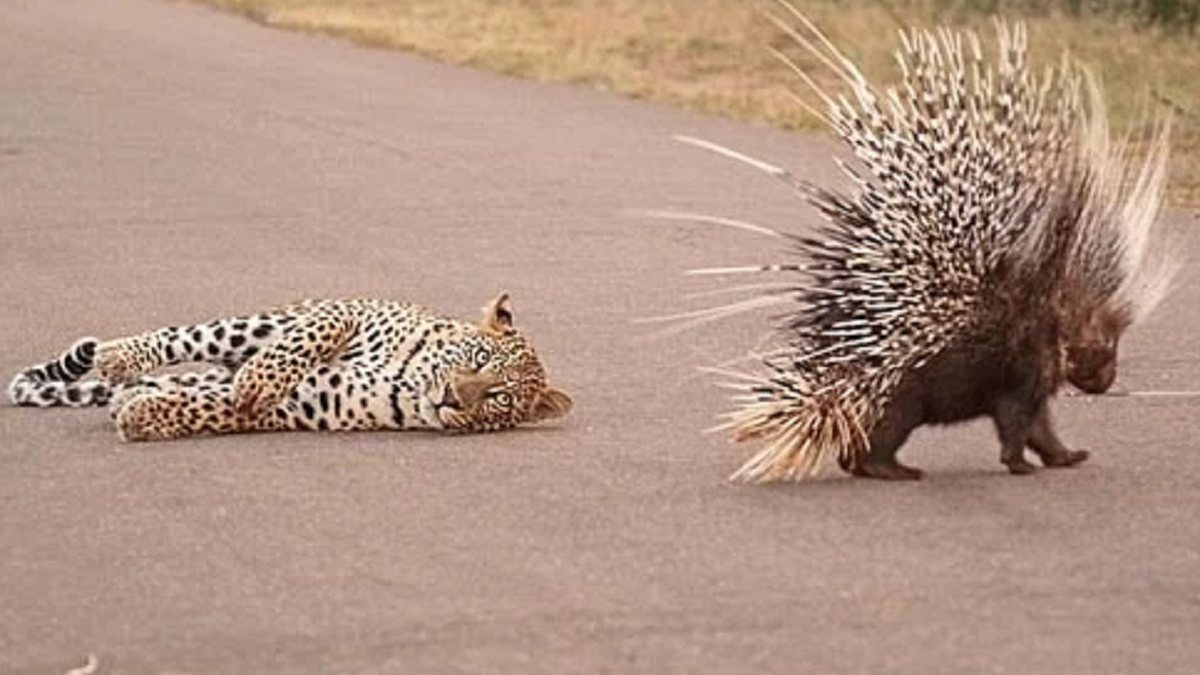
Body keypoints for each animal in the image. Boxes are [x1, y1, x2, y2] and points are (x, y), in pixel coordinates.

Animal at [7, 290, 571, 441]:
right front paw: (260, 379)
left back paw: (136, 393)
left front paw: (144, 416)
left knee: (193, 382)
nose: (452, 397)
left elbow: (218, 410)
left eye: (498, 397)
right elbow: (303, 343)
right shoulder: (346, 310)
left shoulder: (313, 404)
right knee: (185, 339)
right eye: (478, 358)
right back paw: (119, 356)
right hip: (256, 322)